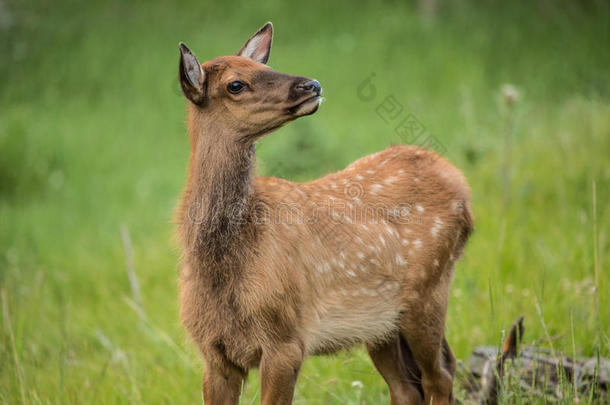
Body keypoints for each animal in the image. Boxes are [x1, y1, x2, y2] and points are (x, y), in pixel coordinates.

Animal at [173, 22, 472, 404]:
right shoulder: (214, 352)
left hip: (429, 289)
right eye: (235, 84)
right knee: (408, 386)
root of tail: (458, 179)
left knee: (442, 376)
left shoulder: (286, 339)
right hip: (381, 324)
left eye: (267, 67)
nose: (312, 85)